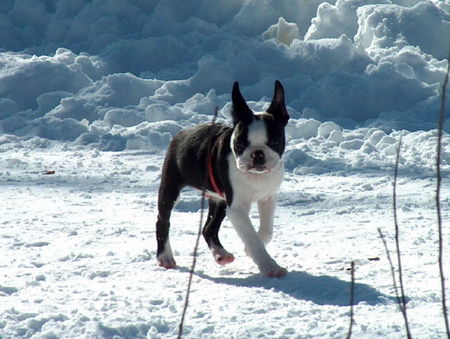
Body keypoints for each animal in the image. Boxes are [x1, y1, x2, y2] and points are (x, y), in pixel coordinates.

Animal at [156, 81, 288, 278]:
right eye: (239, 144)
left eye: (275, 142)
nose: (257, 154)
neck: (256, 177)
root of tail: (182, 133)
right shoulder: (237, 208)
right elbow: (251, 237)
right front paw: (270, 266)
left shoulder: (268, 198)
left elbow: (266, 231)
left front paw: (249, 250)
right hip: (171, 186)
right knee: (163, 220)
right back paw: (165, 257)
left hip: (219, 200)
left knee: (208, 228)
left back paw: (221, 254)